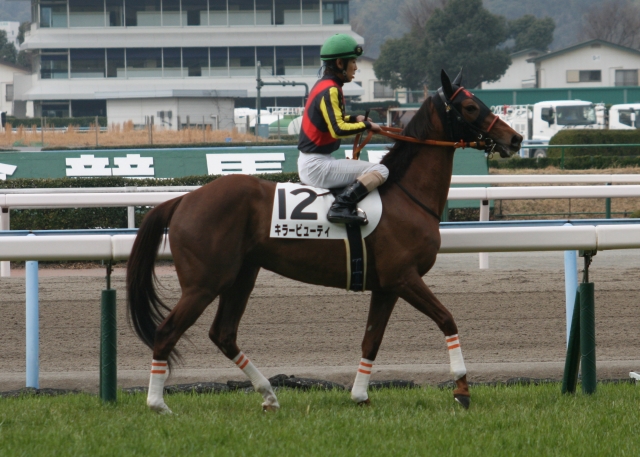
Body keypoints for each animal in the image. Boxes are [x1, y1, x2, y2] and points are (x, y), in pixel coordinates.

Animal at [127, 68, 524, 414]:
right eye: (470, 106)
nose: (515, 139)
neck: (407, 195)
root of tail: (182, 200)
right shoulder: (405, 277)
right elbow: (447, 320)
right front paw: (462, 389)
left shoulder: (387, 286)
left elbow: (371, 339)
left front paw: (360, 396)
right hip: (204, 283)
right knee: (166, 332)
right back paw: (158, 404)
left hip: (241, 277)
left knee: (223, 334)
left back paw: (269, 395)